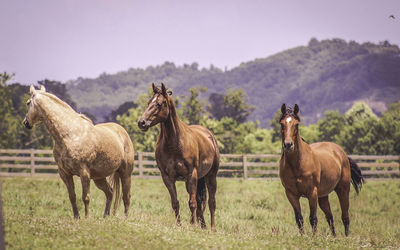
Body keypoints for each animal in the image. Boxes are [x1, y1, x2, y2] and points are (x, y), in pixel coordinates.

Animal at [23, 85, 134, 218]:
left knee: (126, 196)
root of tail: (122, 132)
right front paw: (77, 217)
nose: (26, 122)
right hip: (99, 178)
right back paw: (105, 216)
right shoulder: (64, 173)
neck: (70, 135)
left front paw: (87, 217)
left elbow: (85, 197)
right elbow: (72, 196)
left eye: (28, 103)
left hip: (125, 173)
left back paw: (125, 217)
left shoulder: (84, 172)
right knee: (110, 192)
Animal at [138, 82, 219, 230]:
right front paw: (179, 226)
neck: (174, 144)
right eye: (148, 102)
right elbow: (175, 202)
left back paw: (212, 228)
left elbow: (192, 202)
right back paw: (203, 226)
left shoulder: (191, 175)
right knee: (200, 202)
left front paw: (193, 225)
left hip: (211, 176)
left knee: (211, 202)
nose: (141, 122)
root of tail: (210, 136)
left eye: (159, 104)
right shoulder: (167, 178)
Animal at [278, 103, 362, 236]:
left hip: (343, 190)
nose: (288, 145)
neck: (297, 164)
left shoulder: (312, 193)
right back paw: (334, 237)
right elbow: (299, 219)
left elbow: (313, 218)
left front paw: (314, 237)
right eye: (282, 123)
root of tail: (341, 152)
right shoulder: (291, 194)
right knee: (330, 217)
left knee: (345, 216)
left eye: (296, 124)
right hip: (323, 196)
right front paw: (303, 237)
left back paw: (346, 237)